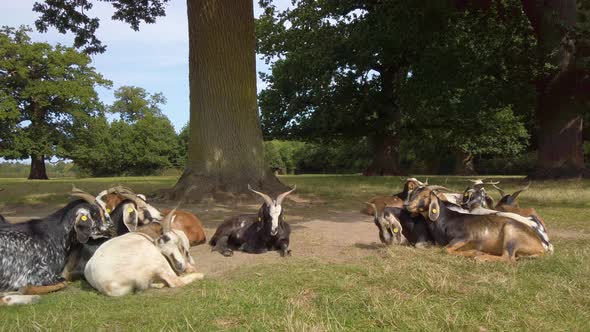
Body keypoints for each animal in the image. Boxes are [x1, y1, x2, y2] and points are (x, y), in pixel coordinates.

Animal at [404, 185, 552, 264]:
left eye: (425, 196)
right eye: (413, 194)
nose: (407, 206)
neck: (445, 219)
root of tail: (541, 246)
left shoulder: (465, 237)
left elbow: (446, 249)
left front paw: (474, 252)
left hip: (510, 233)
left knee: (508, 258)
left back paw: (481, 257)